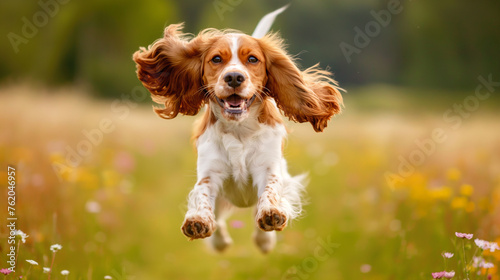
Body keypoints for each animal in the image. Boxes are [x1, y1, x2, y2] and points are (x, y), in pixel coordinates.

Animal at [133, 12, 344, 254]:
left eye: (252, 59)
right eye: (216, 59)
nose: (234, 77)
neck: (239, 130)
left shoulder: (268, 168)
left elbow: (271, 190)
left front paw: (272, 214)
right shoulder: (210, 173)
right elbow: (201, 195)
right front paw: (198, 221)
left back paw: (264, 240)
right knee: (219, 220)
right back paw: (221, 242)